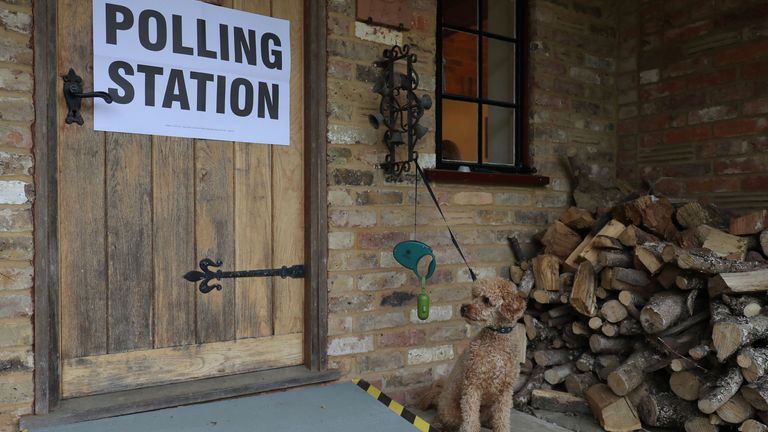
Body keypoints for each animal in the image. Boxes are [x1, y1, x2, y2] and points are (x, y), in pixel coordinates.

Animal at [420, 278, 528, 432]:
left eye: (487, 300)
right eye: (474, 296)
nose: (464, 308)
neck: (496, 341)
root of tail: (439, 396)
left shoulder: (505, 391)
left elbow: (502, 418)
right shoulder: (473, 385)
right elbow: (470, 419)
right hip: (450, 411)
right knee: (444, 419)